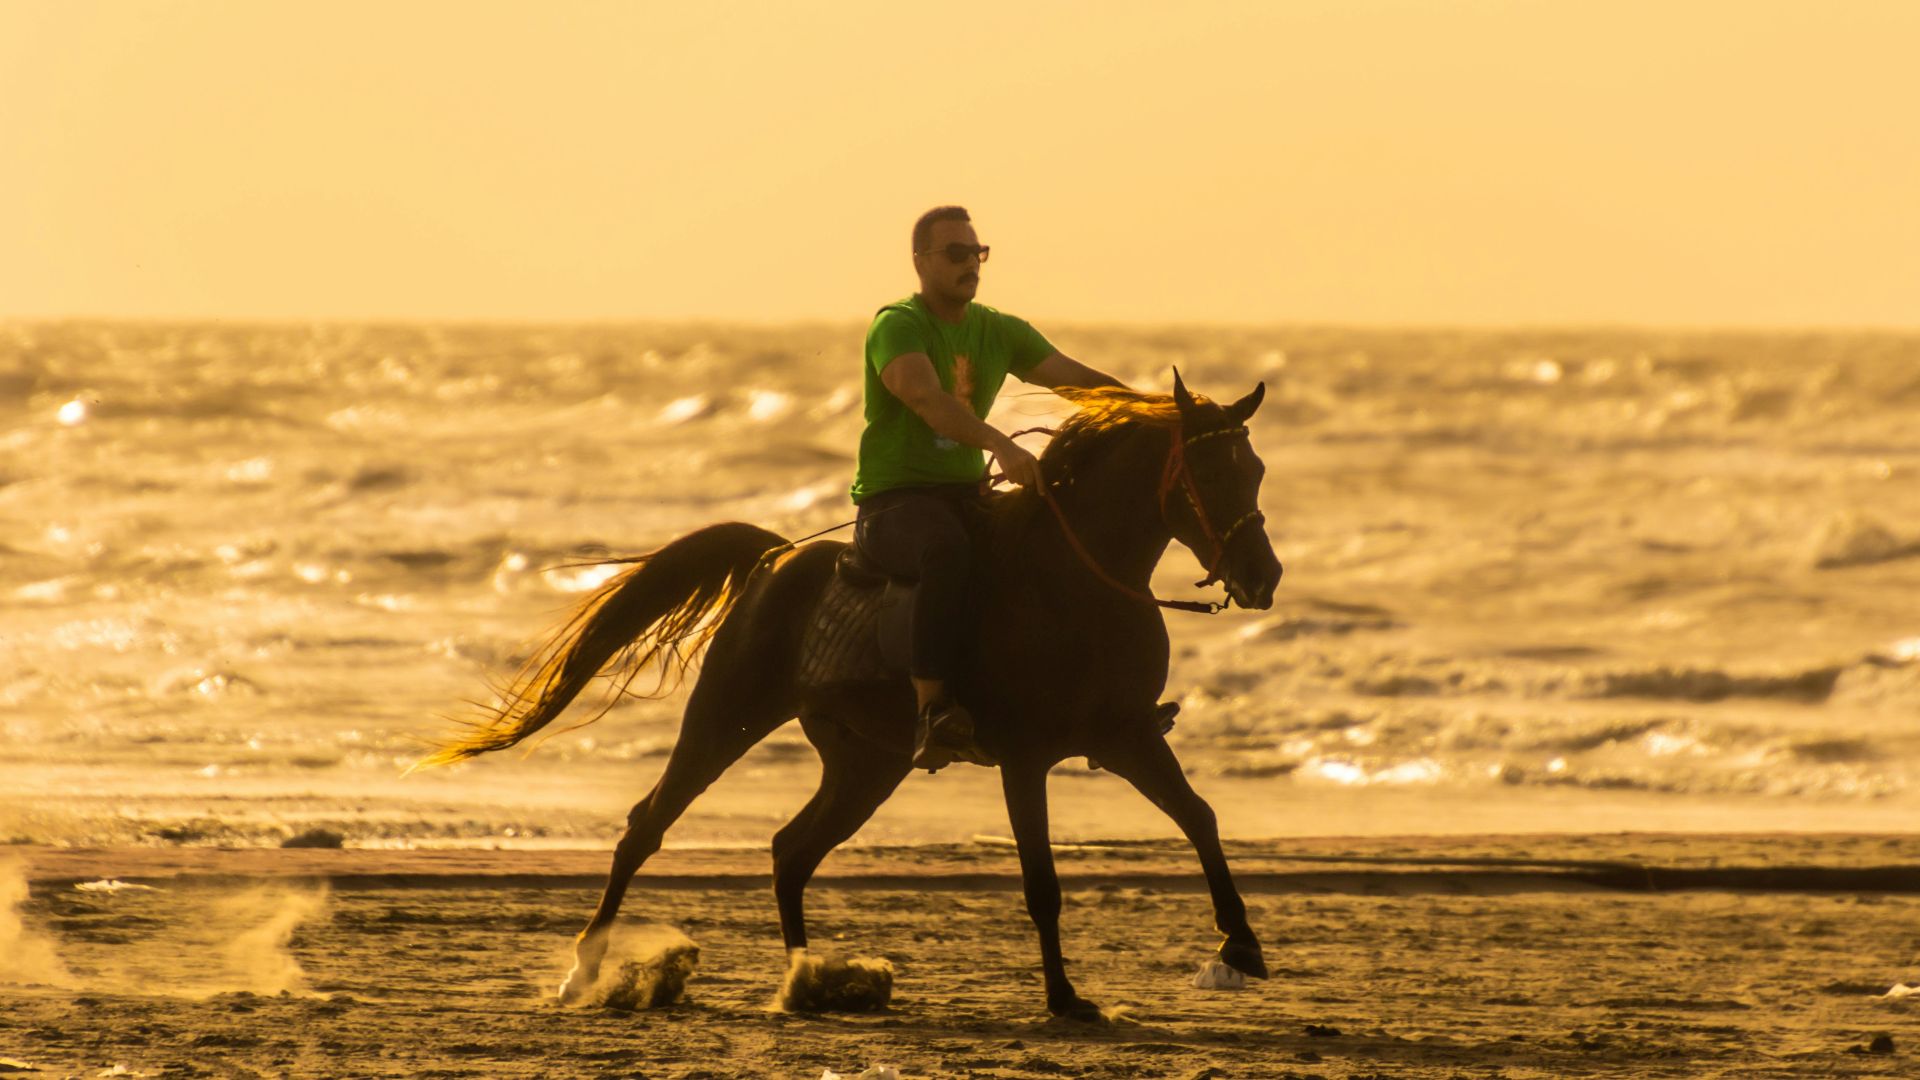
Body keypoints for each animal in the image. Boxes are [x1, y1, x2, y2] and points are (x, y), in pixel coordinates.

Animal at [418, 371, 1284, 1020]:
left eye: (1256, 471)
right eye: (1209, 474)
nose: (1263, 577)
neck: (1080, 583)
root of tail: (773, 561)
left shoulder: (1127, 737)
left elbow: (1201, 819)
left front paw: (1240, 946)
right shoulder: (1027, 759)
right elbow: (1042, 883)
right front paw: (1065, 998)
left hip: (866, 765)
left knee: (790, 850)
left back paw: (806, 983)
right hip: (725, 718)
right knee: (647, 828)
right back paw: (583, 972)